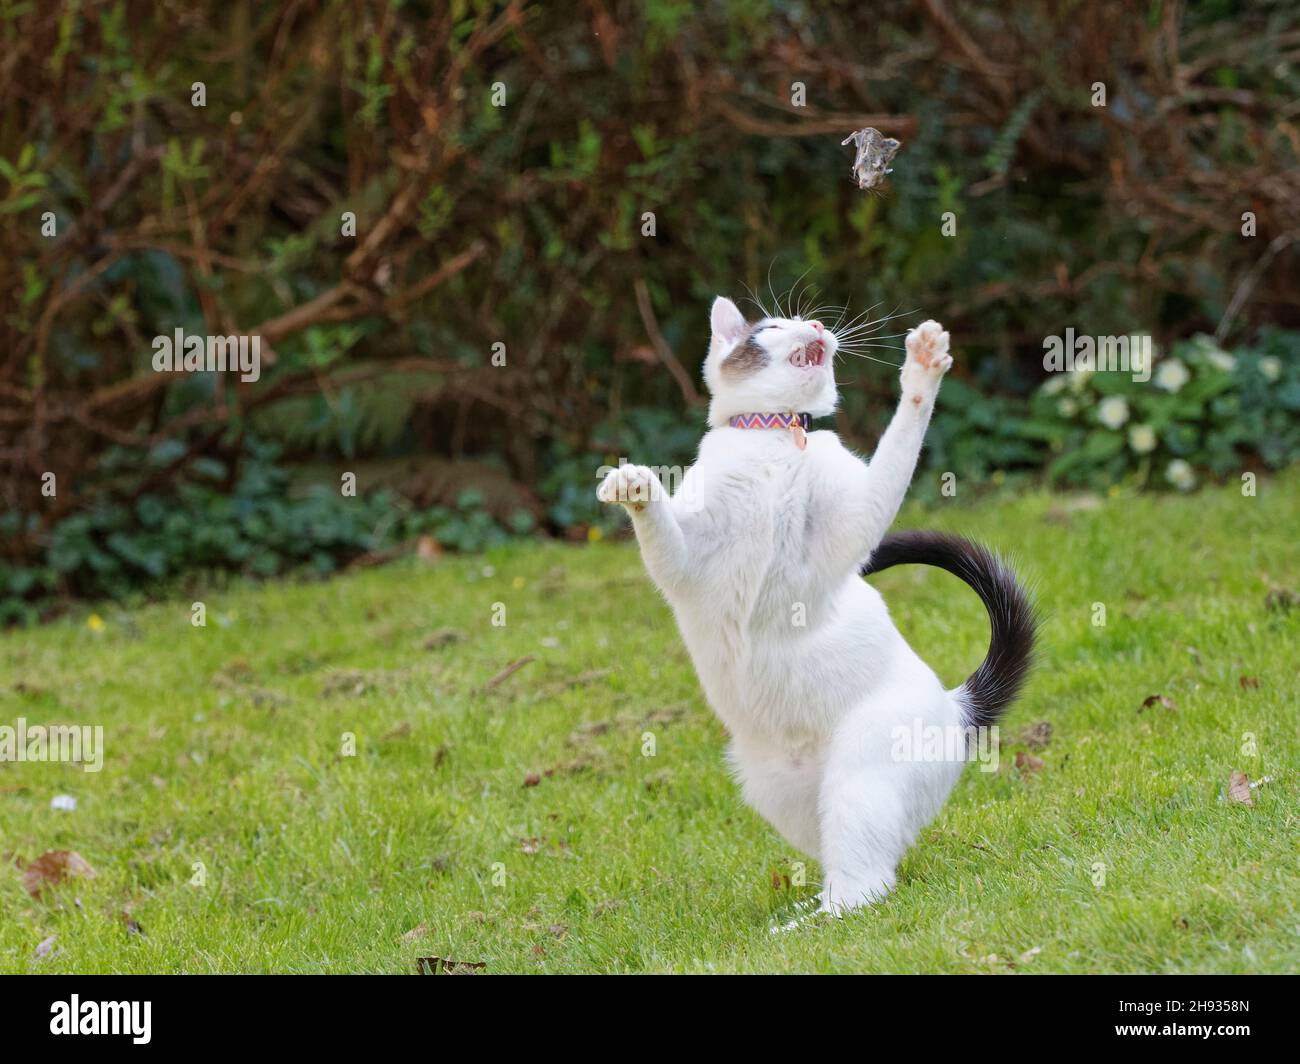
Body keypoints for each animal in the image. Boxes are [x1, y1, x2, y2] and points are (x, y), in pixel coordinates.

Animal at [598, 293, 1034, 915]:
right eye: (774, 325)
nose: (819, 323)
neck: (777, 439)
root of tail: (957, 708)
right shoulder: (685, 565)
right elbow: (659, 527)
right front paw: (632, 485)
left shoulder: (851, 527)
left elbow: (900, 444)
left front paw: (923, 366)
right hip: (780, 792)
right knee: (857, 863)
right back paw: (808, 910)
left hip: (859, 775)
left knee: (867, 883)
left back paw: (814, 923)